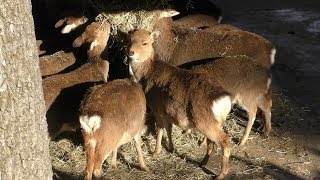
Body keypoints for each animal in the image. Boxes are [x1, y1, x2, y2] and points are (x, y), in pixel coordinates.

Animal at [127, 28, 232, 179]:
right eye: (130, 40)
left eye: (145, 43)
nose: (130, 53)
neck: (146, 75)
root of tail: (224, 101)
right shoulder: (167, 111)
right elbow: (169, 128)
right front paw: (171, 148)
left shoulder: (157, 108)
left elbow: (160, 130)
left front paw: (155, 153)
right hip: (215, 121)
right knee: (211, 142)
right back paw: (203, 162)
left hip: (204, 121)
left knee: (225, 141)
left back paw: (220, 174)